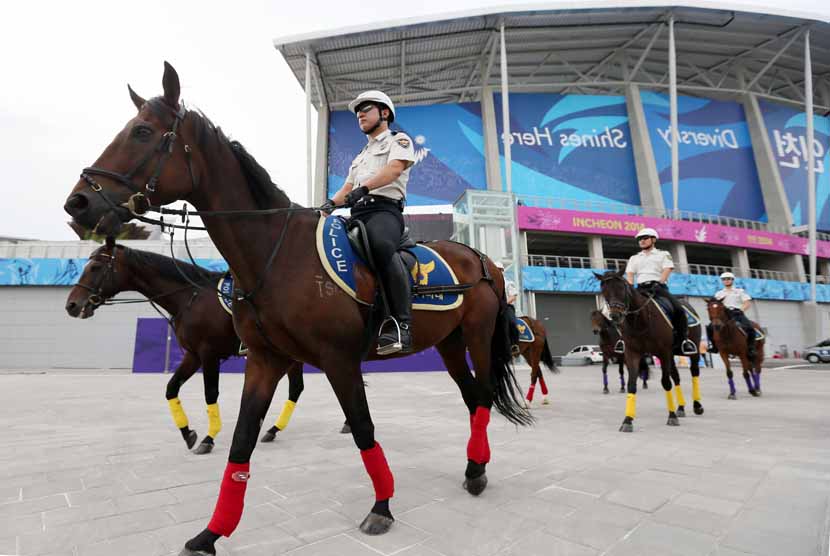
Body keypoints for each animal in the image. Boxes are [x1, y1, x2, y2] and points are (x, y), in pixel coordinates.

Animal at [64, 241, 306, 454]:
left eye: (95, 267)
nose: (72, 305)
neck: (190, 297)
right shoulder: (193, 356)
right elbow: (172, 388)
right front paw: (188, 433)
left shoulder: (209, 355)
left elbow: (210, 393)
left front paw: (208, 439)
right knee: (296, 388)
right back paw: (273, 430)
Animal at [596, 272, 704, 432]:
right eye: (604, 292)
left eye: (622, 289)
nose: (615, 316)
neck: (641, 320)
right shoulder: (632, 354)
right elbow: (632, 384)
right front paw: (628, 420)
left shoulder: (663, 352)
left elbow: (666, 382)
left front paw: (672, 416)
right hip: (671, 355)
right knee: (676, 377)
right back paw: (681, 407)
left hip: (692, 351)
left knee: (694, 373)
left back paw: (697, 406)